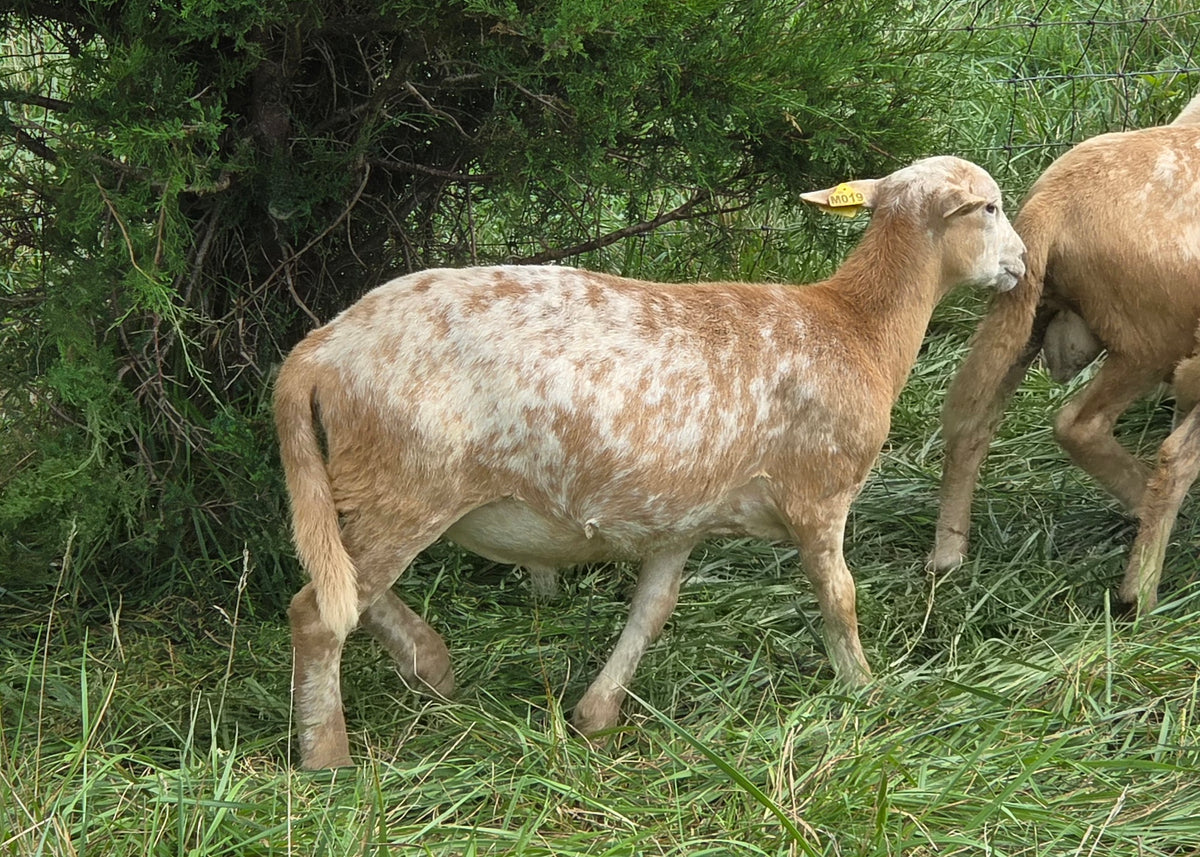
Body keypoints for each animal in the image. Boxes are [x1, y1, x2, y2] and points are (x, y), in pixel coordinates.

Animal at [275, 155, 1025, 769]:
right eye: (988, 207)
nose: (1020, 265)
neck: (857, 325)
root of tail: (315, 353)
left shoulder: (679, 518)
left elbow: (651, 611)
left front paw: (597, 714)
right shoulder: (819, 492)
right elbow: (839, 597)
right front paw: (864, 691)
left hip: (373, 487)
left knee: (342, 587)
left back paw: (429, 665)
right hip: (405, 483)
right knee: (317, 612)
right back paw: (328, 756)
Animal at [930, 92, 1200, 614]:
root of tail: (1053, 202)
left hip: (1022, 317)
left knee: (971, 425)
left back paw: (948, 553)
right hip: (1150, 342)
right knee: (1094, 430)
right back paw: (1142, 585)